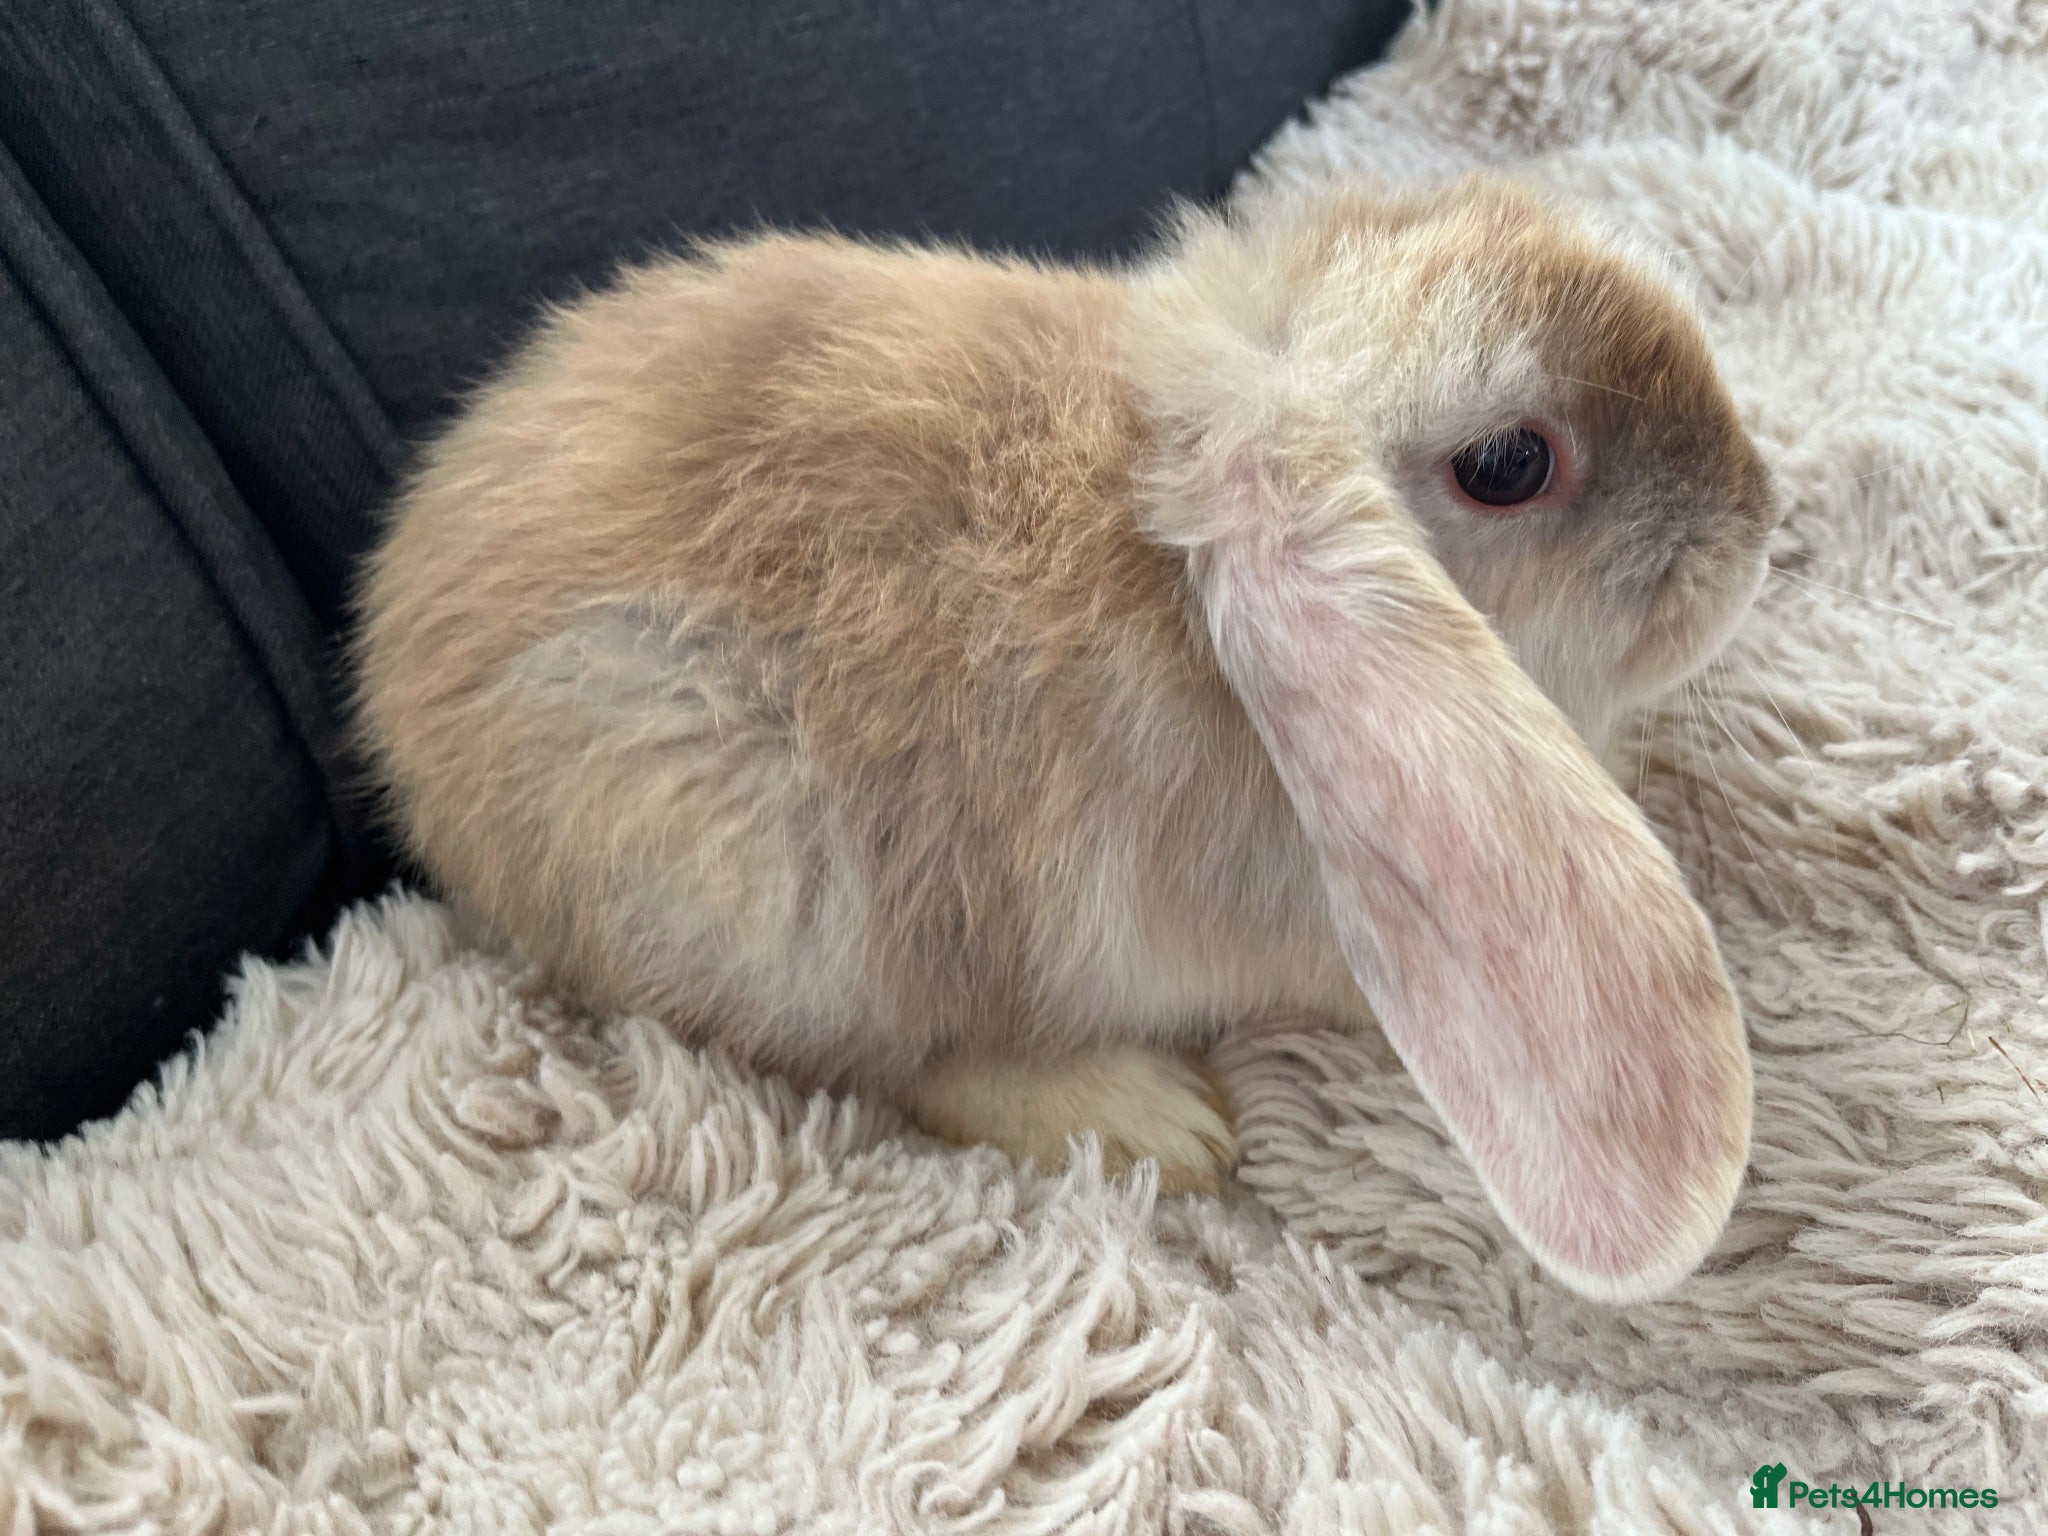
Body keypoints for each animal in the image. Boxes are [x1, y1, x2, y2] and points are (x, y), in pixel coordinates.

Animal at [353, 173, 1778, 1303]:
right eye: (1506, 465)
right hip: (775, 890)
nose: (1755, 518)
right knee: (895, 1064)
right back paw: (1149, 1120)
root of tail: (403, 718)